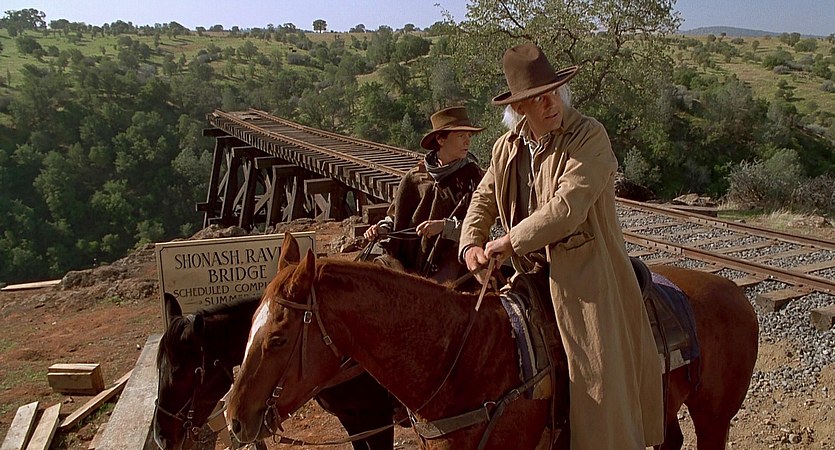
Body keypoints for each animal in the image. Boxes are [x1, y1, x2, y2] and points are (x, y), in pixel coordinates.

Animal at [226, 233, 758, 449]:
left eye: (278, 337)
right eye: (248, 326)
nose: (234, 417)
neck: (463, 359)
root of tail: (736, 292)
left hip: (715, 416)